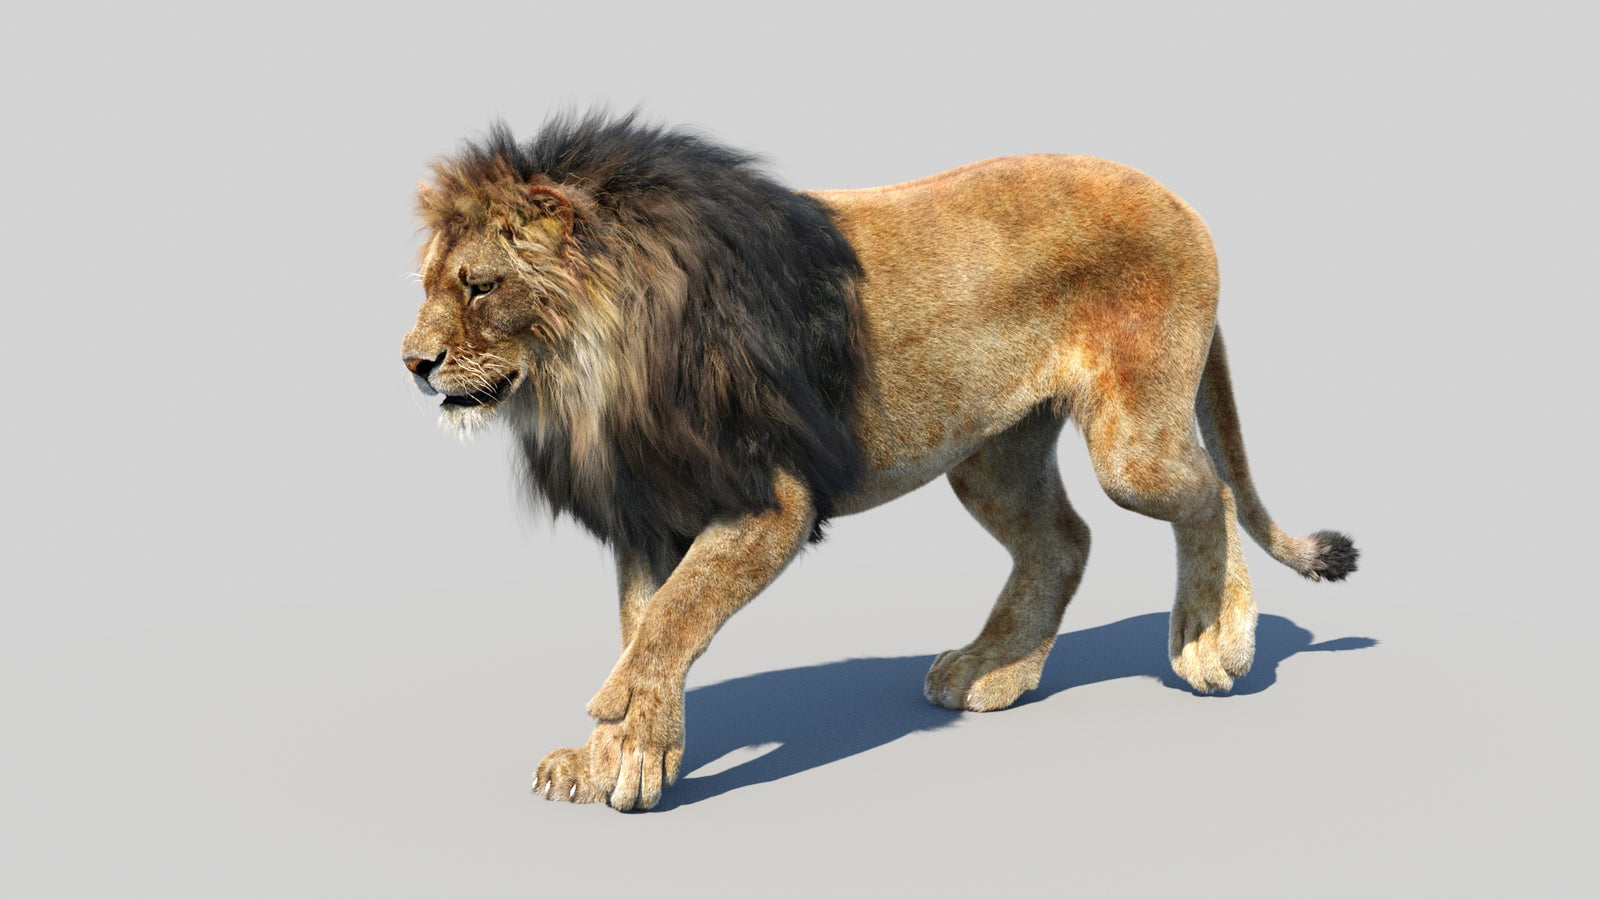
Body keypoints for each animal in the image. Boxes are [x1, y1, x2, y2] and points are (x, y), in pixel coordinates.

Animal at [401, 111, 1358, 811]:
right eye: (426, 285)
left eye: (479, 286)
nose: (412, 363)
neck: (595, 376)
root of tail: (1181, 201)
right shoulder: (651, 510)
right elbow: (645, 621)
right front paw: (608, 757)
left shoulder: (770, 502)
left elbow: (673, 618)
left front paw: (626, 731)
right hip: (991, 451)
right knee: (1064, 541)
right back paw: (991, 672)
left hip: (1134, 442)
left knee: (1210, 494)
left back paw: (1211, 641)